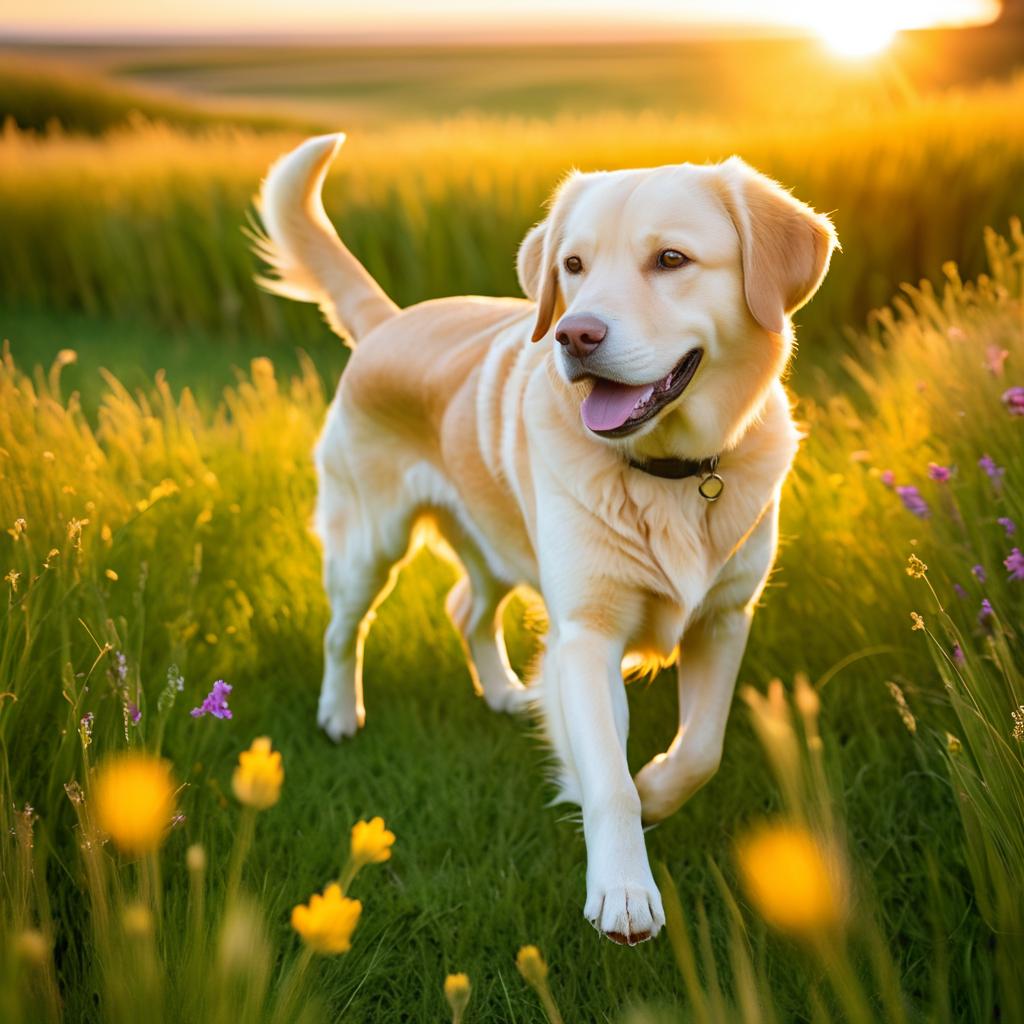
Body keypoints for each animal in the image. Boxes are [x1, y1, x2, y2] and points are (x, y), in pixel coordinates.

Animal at [251, 136, 835, 942]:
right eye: (574, 266)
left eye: (672, 260)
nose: (573, 333)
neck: (668, 472)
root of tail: (390, 321)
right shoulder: (586, 636)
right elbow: (610, 781)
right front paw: (624, 888)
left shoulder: (724, 618)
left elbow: (702, 750)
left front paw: (658, 789)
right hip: (370, 543)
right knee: (345, 629)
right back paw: (340, 714)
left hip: (496, 542)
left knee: (465, 609)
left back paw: (504, 692)